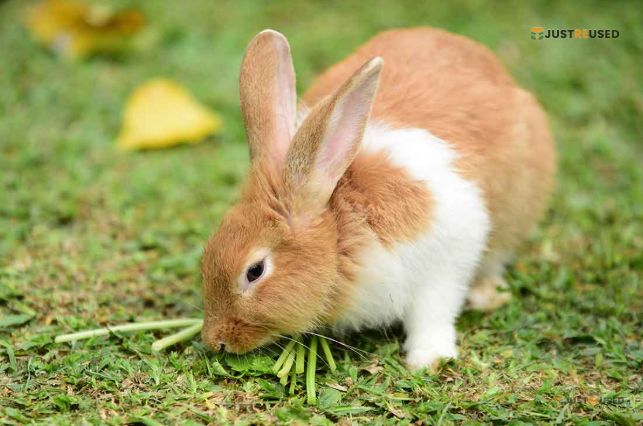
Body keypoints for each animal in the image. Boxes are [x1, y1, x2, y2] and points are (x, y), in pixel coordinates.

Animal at [200, 27, 556, 370]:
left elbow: (433, 312)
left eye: (254, 271)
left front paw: (428, 359)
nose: (215, 340)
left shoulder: (447, 255)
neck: (343, 230)